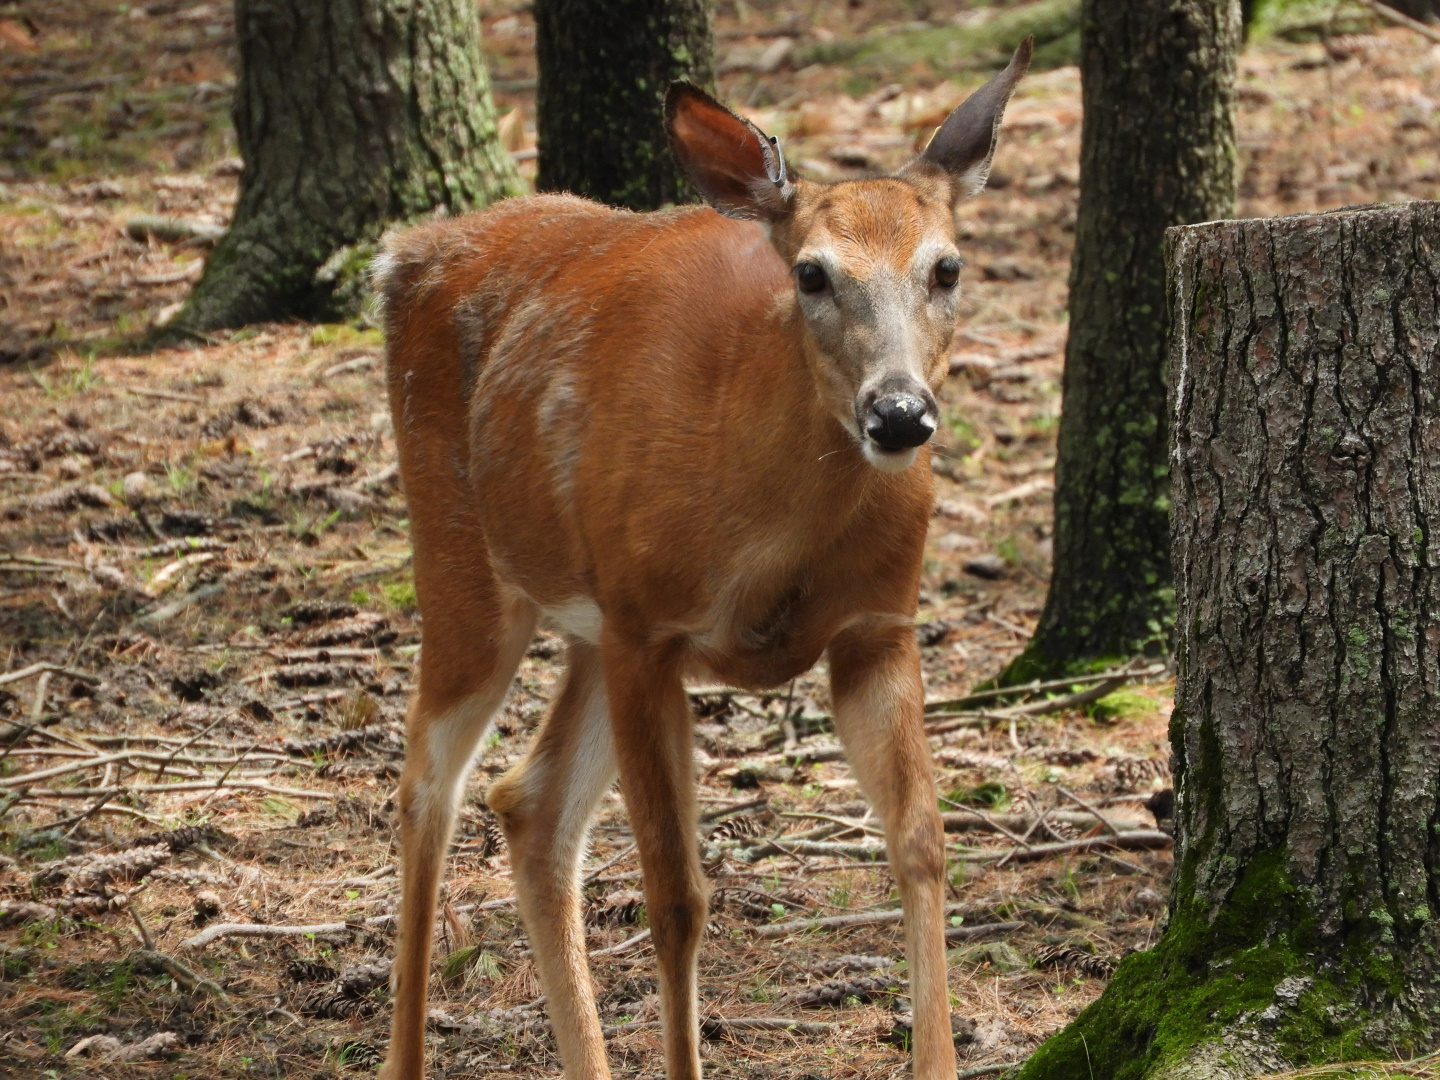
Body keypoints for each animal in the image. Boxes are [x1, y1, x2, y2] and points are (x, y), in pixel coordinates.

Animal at [375, 39, 1032, 1080]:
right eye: (811, 274)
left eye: (947, 267)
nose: (898, 414)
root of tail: (405, 252)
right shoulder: (652, 628)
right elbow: (677, 897)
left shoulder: (878, 625)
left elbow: (923, 842)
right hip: (468, 562)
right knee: (426, 788)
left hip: (590, 623)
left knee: (530, 802)